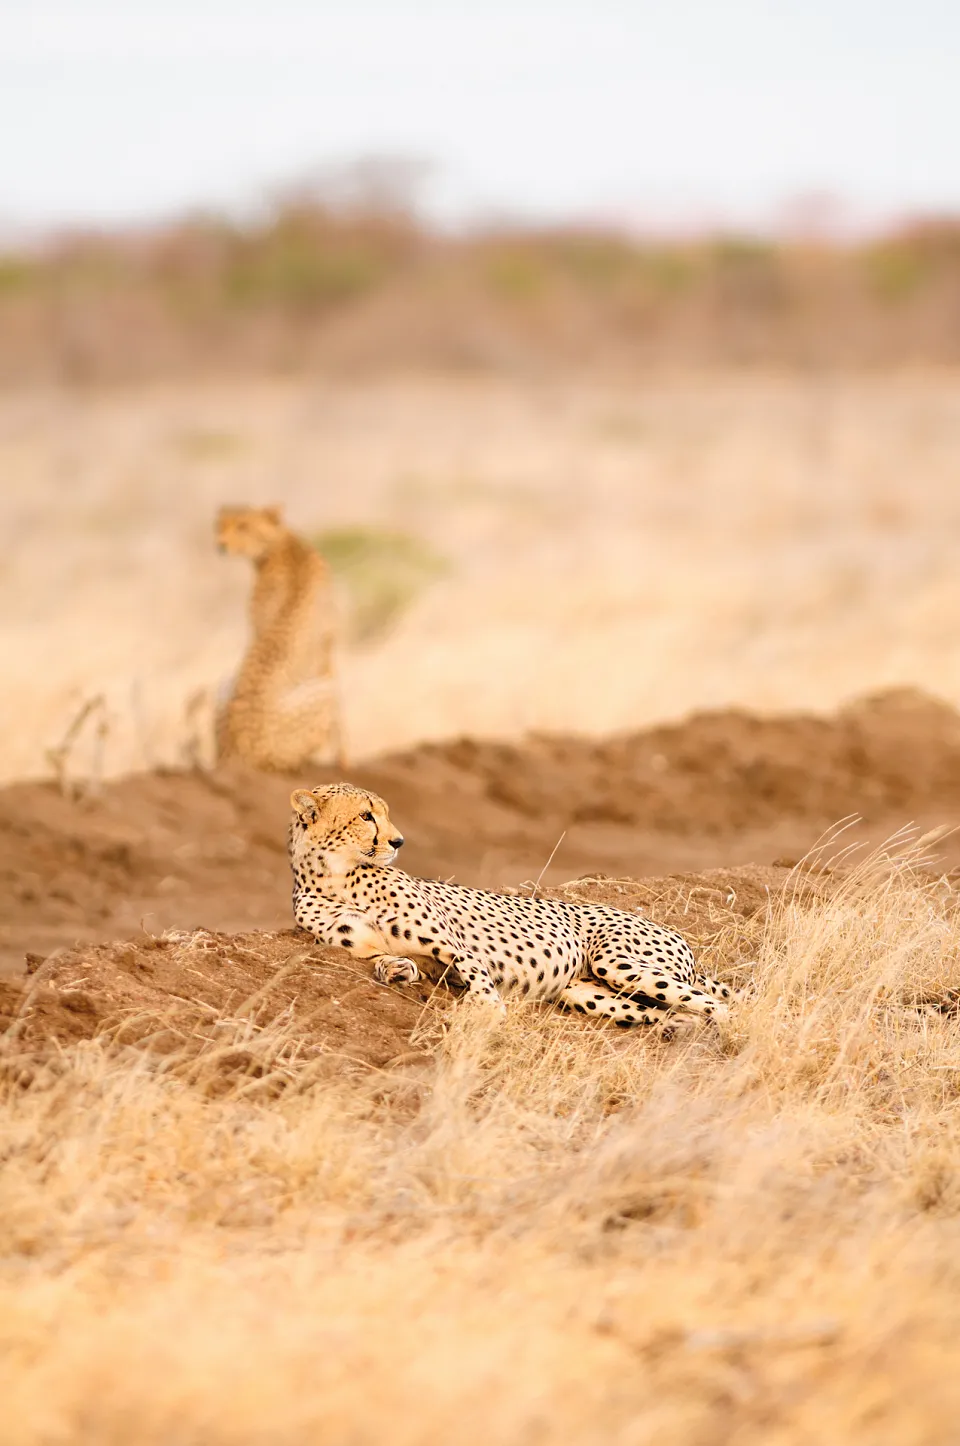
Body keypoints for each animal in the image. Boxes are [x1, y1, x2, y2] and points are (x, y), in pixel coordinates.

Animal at [215, 505, 345, 772]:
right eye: (220, 525)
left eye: (243, 526)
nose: (220, 544)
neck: (281, 541)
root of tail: (244, 755)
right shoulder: (326, 647)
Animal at [288, 782, 732, 1028]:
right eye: (366, 816)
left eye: (382, 814)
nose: (398, 842)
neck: (335, 876)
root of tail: (672, 931)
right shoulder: (373, 948)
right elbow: (387, 960)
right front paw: (395, 971)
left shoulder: (456, 947)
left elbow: (475, 971)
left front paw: (488, 1010)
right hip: (586, 992)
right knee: (676, 1011)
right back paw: (681, 1029)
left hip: (621, 964)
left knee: (723, 1006)